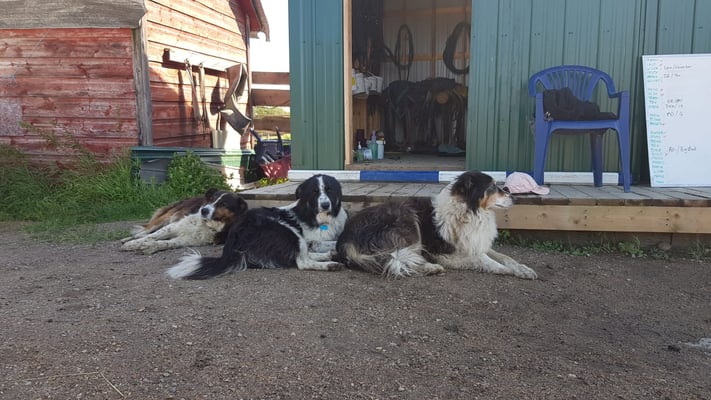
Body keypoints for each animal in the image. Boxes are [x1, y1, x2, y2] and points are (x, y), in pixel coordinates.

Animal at [167, 174, 347, 280]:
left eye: (330, 190)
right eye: (315, 192)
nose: (325, 205)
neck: (321, 219)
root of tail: (233, 239)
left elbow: (335, 241)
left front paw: (333, 249)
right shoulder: (310, 240)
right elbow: (321, 245)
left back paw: (329, 255)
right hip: (287, 230)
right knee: (302, 262)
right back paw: (329, 264)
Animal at [335, 170, 537, 279]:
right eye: (492, 187)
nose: (515, 198)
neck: (469, 211)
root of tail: (345, 238)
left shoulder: (477, 243)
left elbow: (506, 257)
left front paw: (524, 269)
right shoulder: (445, 254)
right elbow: (483, 259)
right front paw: (505, 270)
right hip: (407, 219)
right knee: (395, 258)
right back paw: (430, 267)